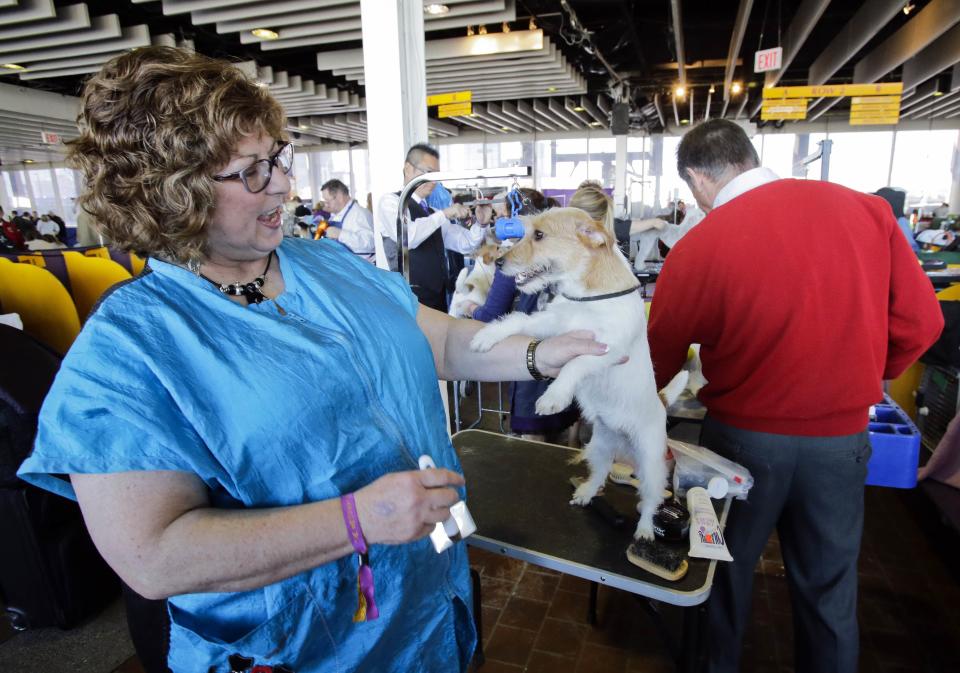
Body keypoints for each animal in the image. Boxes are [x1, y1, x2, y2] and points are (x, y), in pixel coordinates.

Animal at [468, 207, 680, 540]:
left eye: (539, 235)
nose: (498, 263)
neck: (586, 299)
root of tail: (660, 401)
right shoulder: (554, 325)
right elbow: (518, 320)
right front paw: (488, 335)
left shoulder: (608, 350)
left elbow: (575, 364)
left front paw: (554, 395)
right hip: (599, 448)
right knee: (601, 474)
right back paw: (586, 492)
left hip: (650, 462)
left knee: (650, 497)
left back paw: (645, 528)